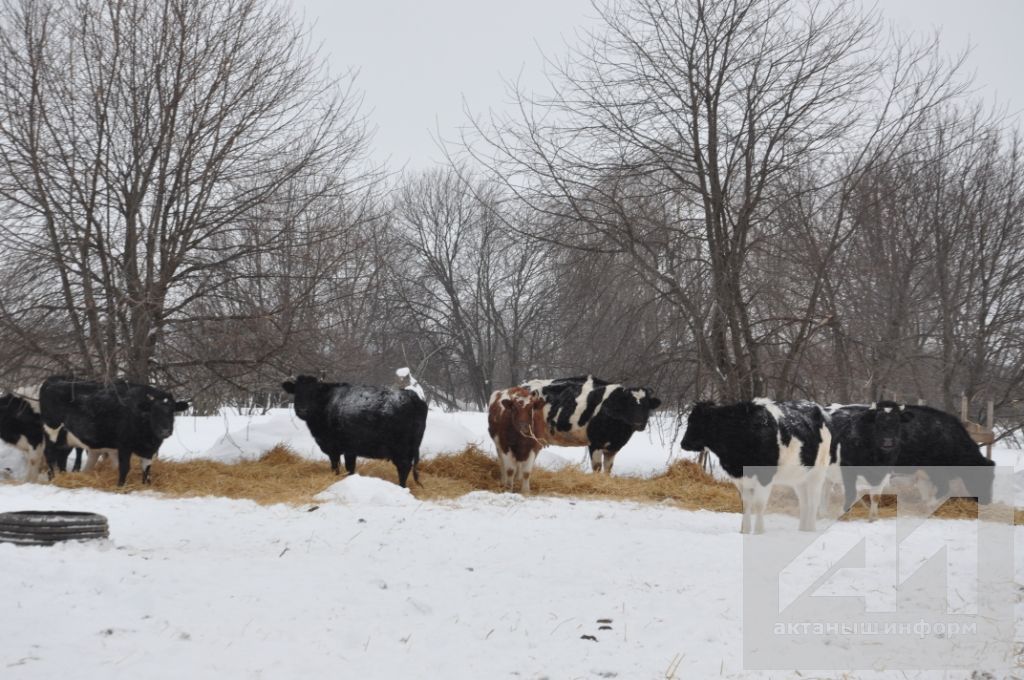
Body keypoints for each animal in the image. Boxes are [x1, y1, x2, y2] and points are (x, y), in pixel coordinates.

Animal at [39, 374, 188, 485]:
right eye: (153, 412)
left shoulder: (149, 450)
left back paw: (62, 475)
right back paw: (52, 478)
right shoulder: (124, 445)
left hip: (66, 437)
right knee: (50, 455)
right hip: (52, 430)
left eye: (172, 411)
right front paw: (120, 486)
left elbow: (146, 469)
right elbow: (124, 467)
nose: (165, 431)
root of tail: (53, 379)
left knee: (61, 456)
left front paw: (146, 485)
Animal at [280, 374, 428, 485]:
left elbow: (336, 467)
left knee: (404, 467)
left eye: (315, 392)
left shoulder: (334, 448)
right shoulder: (350, 450)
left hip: (401, 448)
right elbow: (350, 469)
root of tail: (412, 396)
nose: (303, 410)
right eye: (297, 391)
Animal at [520, 374, 663, 475]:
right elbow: (597, 467)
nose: (638, 423)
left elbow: (608, 468)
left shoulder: (613, 447)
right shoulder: (595, 443)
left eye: (646, 405)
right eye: (629, 404)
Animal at [679, 399, 831, 536]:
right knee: (804, 502)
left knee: (813, 501)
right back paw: (802, 529)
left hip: (818, 472)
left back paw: (810, 529)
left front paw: (759, 532)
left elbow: (758, 504)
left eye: (696, 422)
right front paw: (745, 531)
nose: (683, 443)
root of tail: (816, 407)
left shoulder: (764, 476)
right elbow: (746, 504)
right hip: (799, 477)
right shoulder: (742, 478)